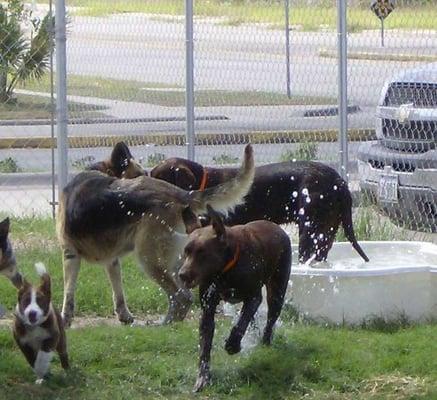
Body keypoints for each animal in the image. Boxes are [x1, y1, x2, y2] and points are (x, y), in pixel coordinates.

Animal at [179, 206, 292, 390]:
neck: (225, 270)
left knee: (269, 319)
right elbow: (205, 345)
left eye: (202, 252)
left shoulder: (253, 297)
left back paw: (265, 341)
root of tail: (277, 227)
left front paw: (232, 345)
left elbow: (240, 325)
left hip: (277, 290)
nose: (182, 274)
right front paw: (203, 377)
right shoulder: (208, 308)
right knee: (251, 319)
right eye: (186, 251)